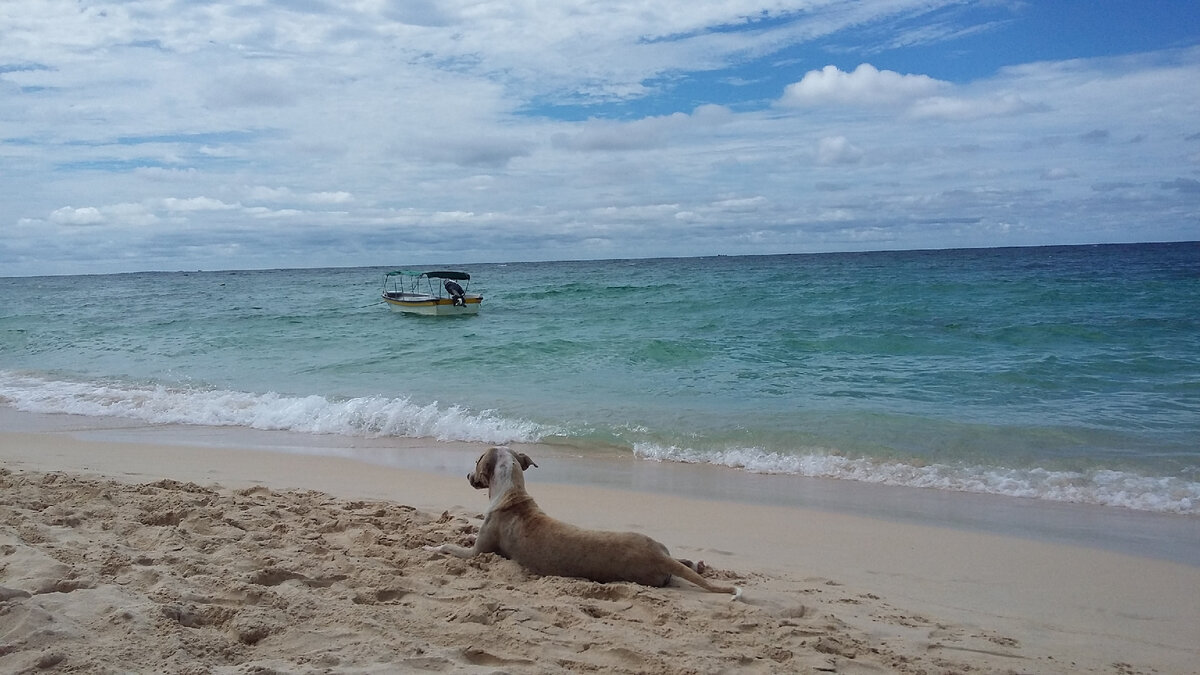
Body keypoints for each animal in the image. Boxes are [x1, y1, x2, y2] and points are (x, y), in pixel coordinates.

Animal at [422, 444, 739, 595]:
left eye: (476, 462)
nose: (466, 475)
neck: (510, 491)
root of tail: (657, 556)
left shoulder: (478, 552)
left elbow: (449, 547)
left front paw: (430, 547)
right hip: (660, 546)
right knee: (684, 561)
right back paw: (697, 564)